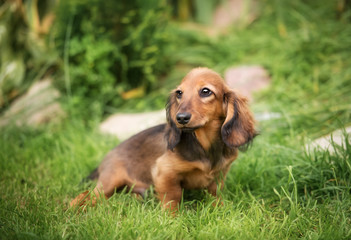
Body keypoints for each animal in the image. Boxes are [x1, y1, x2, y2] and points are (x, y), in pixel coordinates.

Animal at [70, 67, 258, 212]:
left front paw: (220, 209)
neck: (204, 145)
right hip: (109, 181)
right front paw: (172, 219)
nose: (180, 118)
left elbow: (215, 194)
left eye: (206, 91)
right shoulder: (164, 172)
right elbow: (172, 197)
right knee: (86, 195)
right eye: (179, 93)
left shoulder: (220, 174)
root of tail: (106, 158)